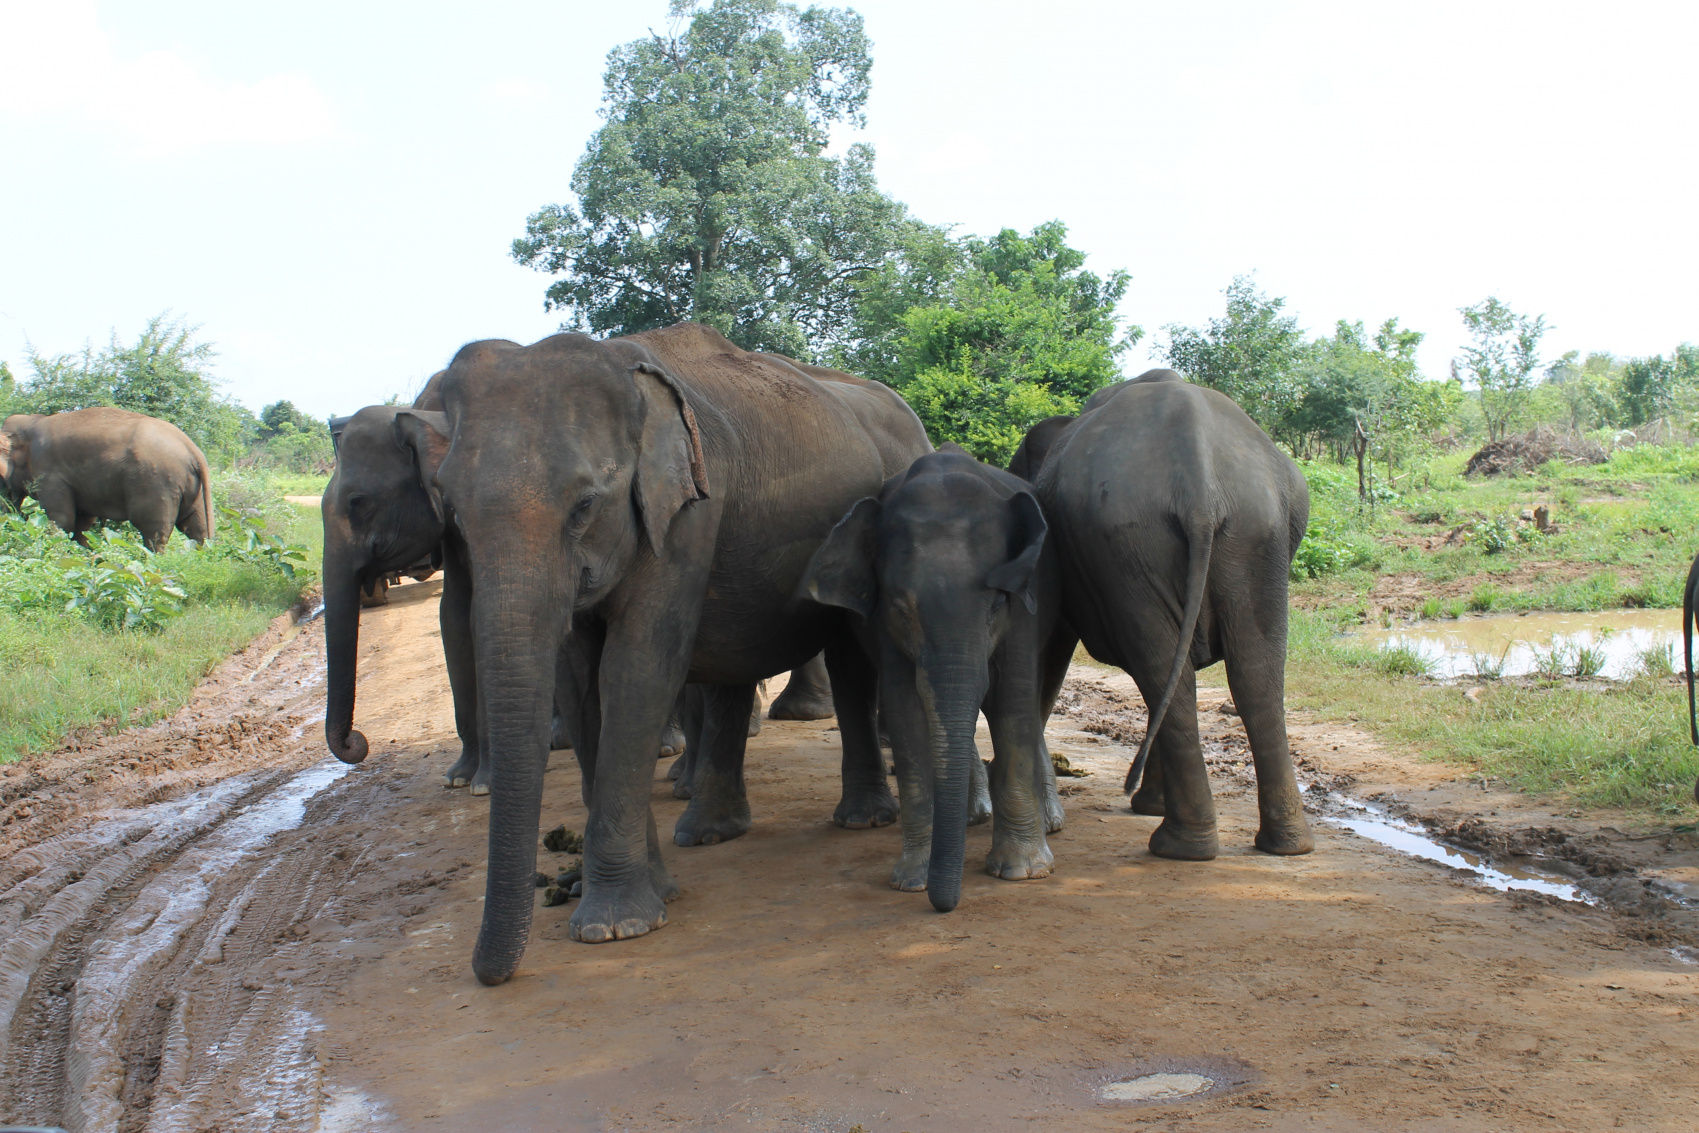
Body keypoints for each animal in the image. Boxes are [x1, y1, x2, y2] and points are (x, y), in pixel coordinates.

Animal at [0, 407, 214, 553]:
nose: (18, 516)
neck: (30, 423)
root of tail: (192, 449)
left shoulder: (49, 474)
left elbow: (61, 519)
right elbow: (82, 523)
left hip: (158, 484)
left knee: (154, 533)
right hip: (192, 489)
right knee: (196, 529)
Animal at [399, 321, 931, 985]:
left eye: (585, 505)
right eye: (454, 510)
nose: (486, 975)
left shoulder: (686, 513)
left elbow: (638, 668)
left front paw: (615, 926)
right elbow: (580, 682)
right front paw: (644, 896)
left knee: (848, 658)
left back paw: (858, 820)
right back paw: (710, 834)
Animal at [798, 445, 1066, 910]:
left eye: (997, 603)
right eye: (902, 610)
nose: (944, 906)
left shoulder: (1025, 609)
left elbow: (1013, 700)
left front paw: (1022, 871)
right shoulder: (884, 627)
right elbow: (906, 709)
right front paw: (911, 881)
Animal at [1019, 372, 1311, 859]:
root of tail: (1200, 485)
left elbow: (1055, 641)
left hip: (1158, 542)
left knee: (1169, 671)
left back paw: (1182, 844)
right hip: (1242, 535)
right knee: (1251, 673)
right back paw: (1275, 844)